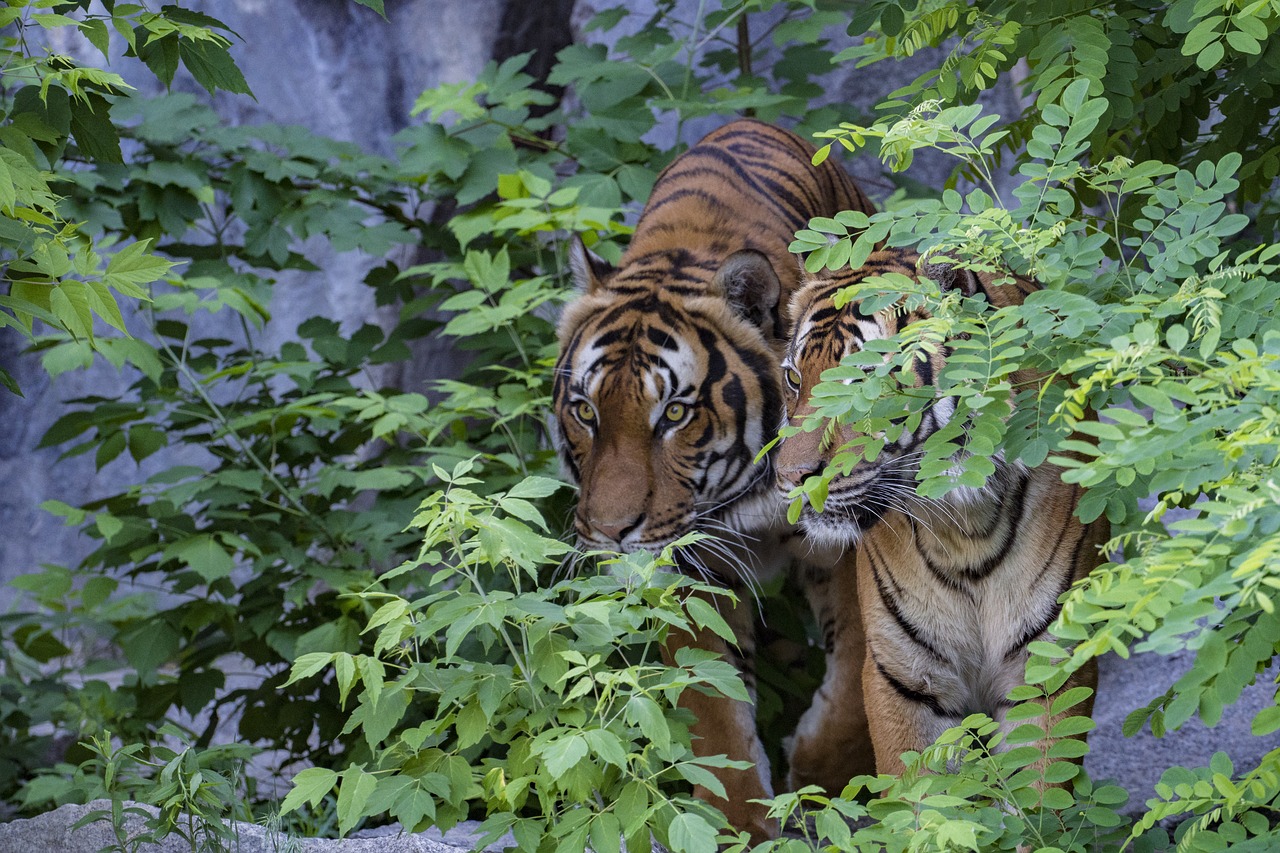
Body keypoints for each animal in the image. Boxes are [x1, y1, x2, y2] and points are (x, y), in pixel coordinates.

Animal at [550, 117, 880, 835]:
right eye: (586, 411)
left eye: (674, 412)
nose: (610, 533)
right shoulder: (686, 568)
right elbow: (713, 712)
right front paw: (742, 827)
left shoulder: (843, 540)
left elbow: (851, 682)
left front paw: (820, 785)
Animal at [773, 245, 1105, 783]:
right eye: (793, 378)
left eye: (867, 383)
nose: (789, 480)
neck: (967, 528)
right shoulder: (903, 676)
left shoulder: (1046, 667)